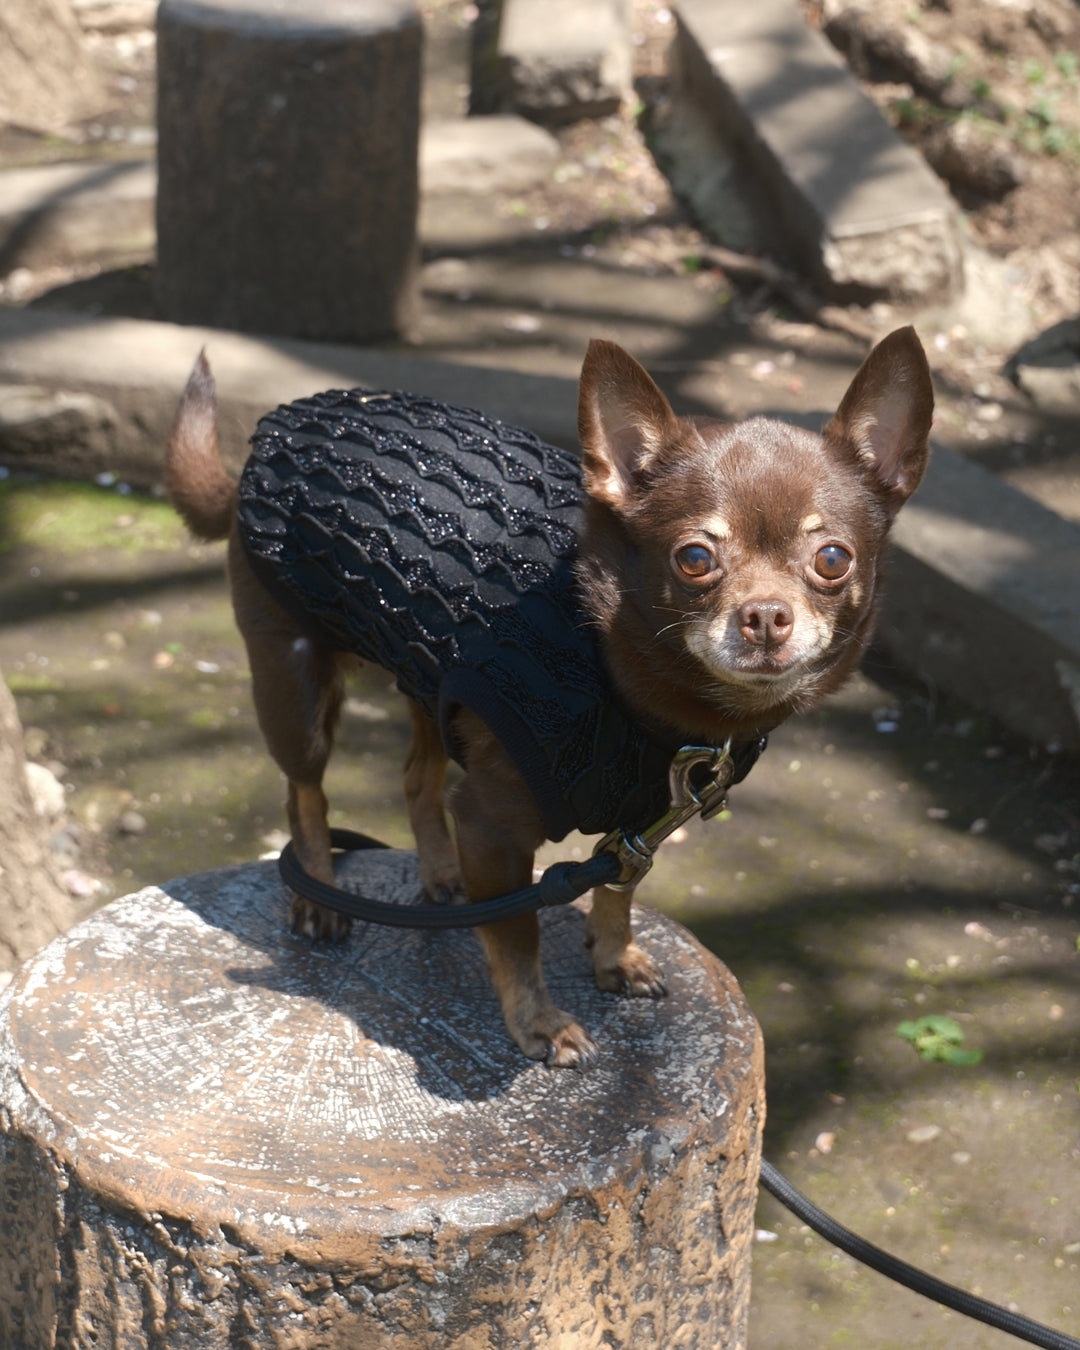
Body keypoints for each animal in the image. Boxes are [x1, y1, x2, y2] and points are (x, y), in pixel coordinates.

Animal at [165, 327, 932, 1068]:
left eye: (832, 560)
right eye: (695, 559)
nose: (767, 616)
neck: (622, 669)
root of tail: (280, 430)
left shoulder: (641, 815)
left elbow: (619, 888)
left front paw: (614, 956)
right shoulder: (493, 825)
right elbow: (516, 934)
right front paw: (537, 1023)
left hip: (426, 682)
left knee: (416, 778)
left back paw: (440, 872)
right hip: (295, 687)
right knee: (305, 793)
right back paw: (317, 898)